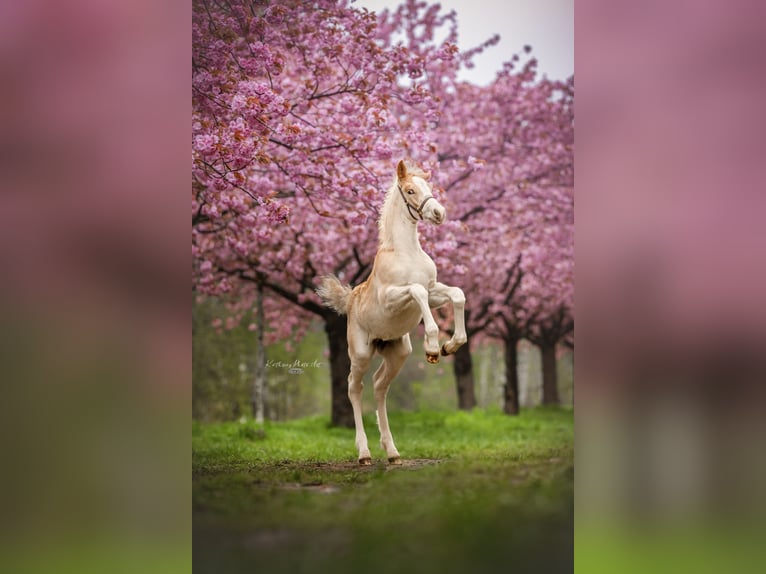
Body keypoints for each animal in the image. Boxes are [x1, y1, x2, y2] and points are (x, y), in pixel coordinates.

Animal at [318, 160, 468, 466]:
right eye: (410, 190)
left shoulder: (435, 291)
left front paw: (451, 345)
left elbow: (457, 294)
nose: (439, 213)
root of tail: (349, 301)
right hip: (361, 353)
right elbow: (417, 292)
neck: (406, 252)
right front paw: (433, 347)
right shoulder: (393, 297)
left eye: (428, 186)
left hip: (398, 352)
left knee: (379, 386)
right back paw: (364, 454)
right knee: (354, 387)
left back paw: (392, 453)